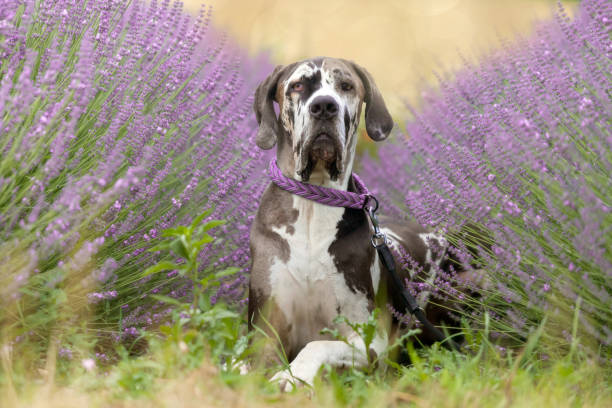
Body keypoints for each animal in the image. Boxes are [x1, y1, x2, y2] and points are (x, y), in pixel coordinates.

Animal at [249, 56, 474, 388]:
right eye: (297, 85)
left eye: (346, 86)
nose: (324, 106)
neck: (313, 205)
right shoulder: (263, 329)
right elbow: (247, 362)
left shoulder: (369, 340)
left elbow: (317, 344)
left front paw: (293, 376)